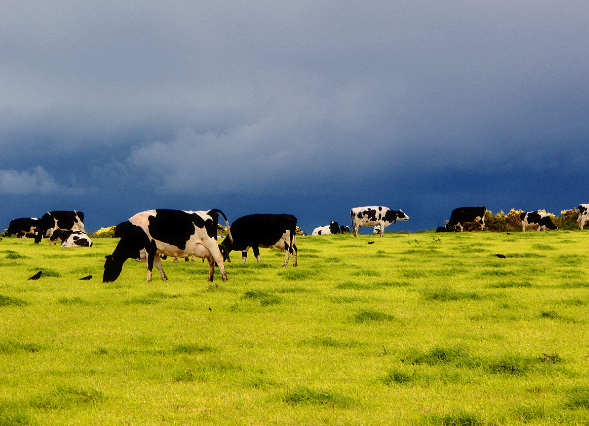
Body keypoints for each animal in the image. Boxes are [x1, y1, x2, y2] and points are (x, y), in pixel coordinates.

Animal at [102, 209, 231, 282]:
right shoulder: (155, 251)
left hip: (211, 243)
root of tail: (209, 211)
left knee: (219, 258)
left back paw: (224, 278)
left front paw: (148, 281)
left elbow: (149, 266)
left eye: (107, 266)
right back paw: (210, 279)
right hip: (206, 248)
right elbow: (158, 266)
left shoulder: (149, 248)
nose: (104, 281)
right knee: (211, 261)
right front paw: (164, 279)